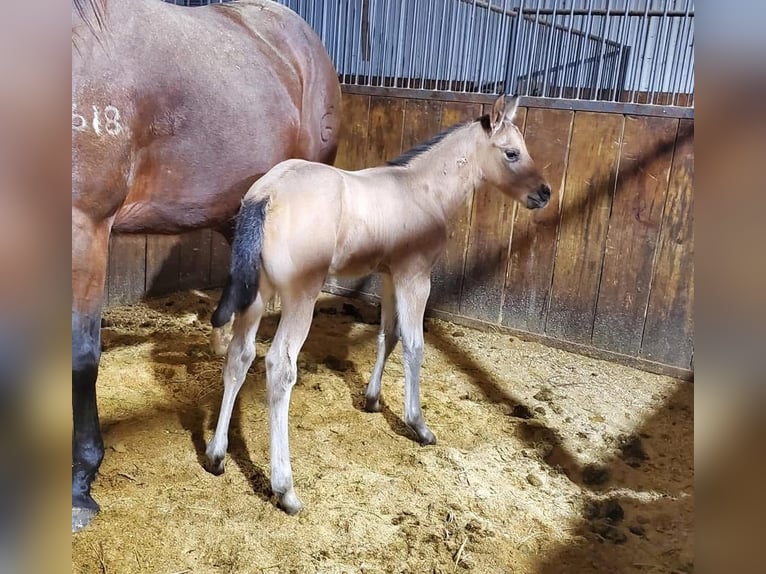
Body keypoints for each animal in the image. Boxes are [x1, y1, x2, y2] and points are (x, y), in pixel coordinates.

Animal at [204, 95, 552, 516]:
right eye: (512, 153)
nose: (544, 193)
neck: (423, 190)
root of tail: (265, 195)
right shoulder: (415, 276)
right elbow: (415, 345)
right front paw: (418, 425)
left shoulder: (389, 275)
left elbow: (389, 334)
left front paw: (371, 400)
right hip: (300, 296)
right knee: (279, 367)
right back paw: (285, 488)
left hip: (255, 296)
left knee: (239, 356)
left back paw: (216, 455)